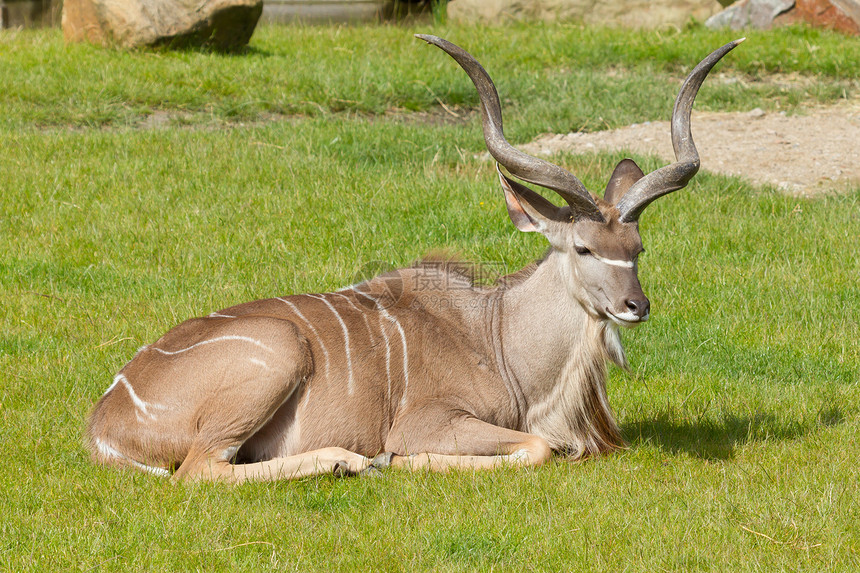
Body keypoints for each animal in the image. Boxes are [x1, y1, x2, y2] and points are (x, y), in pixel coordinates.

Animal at [90, 34, 744, 482]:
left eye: (636, 249)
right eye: (583, 246)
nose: (635, 306)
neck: (498, 336)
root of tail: (105, 424)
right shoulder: (433, 421)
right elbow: (535, 448)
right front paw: (394, 459)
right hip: (279, 354)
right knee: (199, 469)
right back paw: (348, 460)